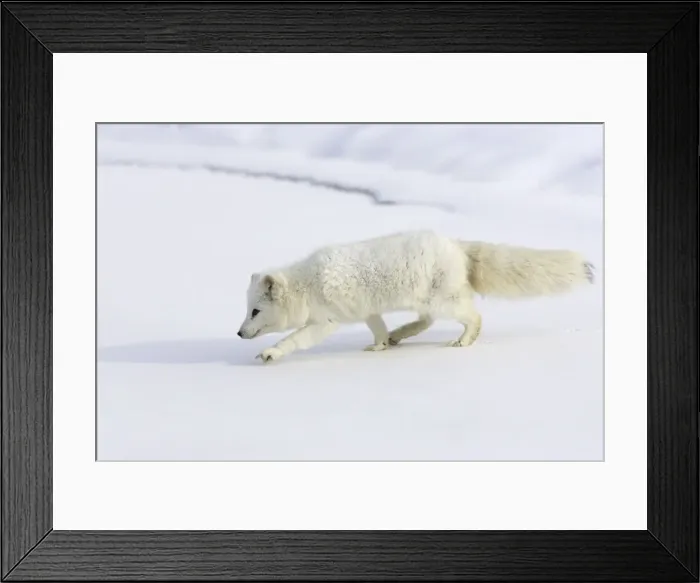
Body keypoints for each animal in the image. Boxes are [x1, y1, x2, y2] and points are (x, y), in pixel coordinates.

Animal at [237, 230, 594, 363]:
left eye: (255, 312)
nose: (239, 333)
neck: (307, 285)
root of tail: (457, 245)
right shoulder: (367, 310)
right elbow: (377, 328)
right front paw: (380, 345)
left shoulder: (327, 320)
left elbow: (296, 339)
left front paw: (270, 353)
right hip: (426, 301)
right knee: (425, 322)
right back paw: (398, 335)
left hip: (443, 301)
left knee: (473, 317)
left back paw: (463, 341)